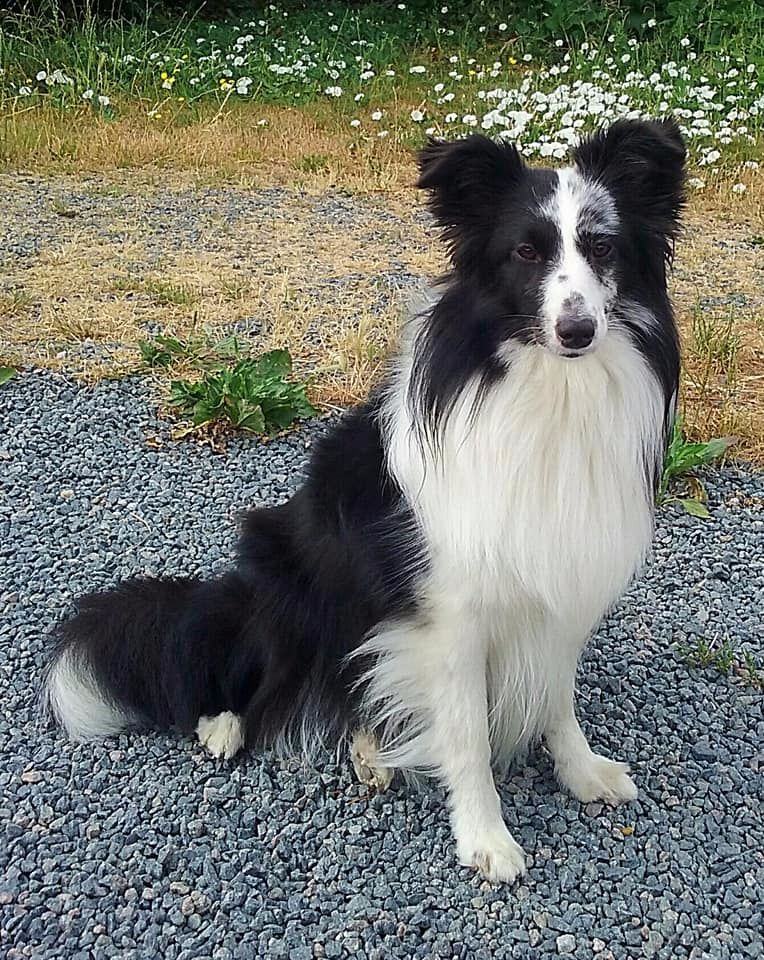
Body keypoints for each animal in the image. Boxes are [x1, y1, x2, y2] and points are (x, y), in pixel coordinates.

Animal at [43, 118, 684, 883]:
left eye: (602, 246)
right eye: (526, 251)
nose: (577, 331)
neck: (552, 396)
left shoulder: (560, 587)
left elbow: (558, 701)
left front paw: (582, 772)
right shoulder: (452, 615)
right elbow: (466, 733)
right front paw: (484, 836)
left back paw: (370, 749)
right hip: (291, 578)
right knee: (257, 671)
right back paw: (227, 724)